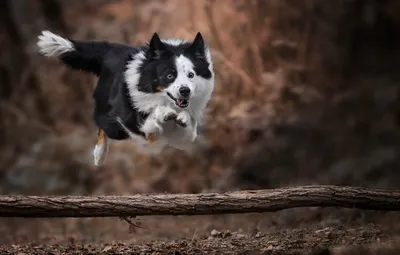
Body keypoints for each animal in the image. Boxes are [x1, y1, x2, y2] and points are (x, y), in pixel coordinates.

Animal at [36, 30, 214, 165]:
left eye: (191, 74)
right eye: (169, 75)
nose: (185, 91)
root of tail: (111, 49)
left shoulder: (183, 139)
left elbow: (187, 128)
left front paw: (182, 117)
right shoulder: (140, 126)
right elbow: (154, 116)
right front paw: (164, 113)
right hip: (116, 125)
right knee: (103, 125)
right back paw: (99, 154)